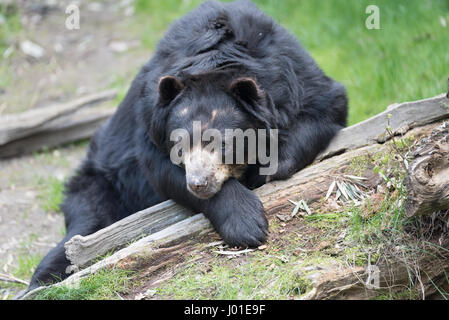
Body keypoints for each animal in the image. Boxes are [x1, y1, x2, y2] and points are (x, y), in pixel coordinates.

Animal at [29, 0, 348, 290]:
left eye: (224, 144)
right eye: (179, 147)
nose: (198, 182)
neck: (215, 62)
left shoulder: (292, 73)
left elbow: (324, 107)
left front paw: (264, 170)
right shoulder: (150, 117)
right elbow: (160, 170)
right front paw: (247, 225)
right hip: (103, 184)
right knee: (85, 226)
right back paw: (41, 282)